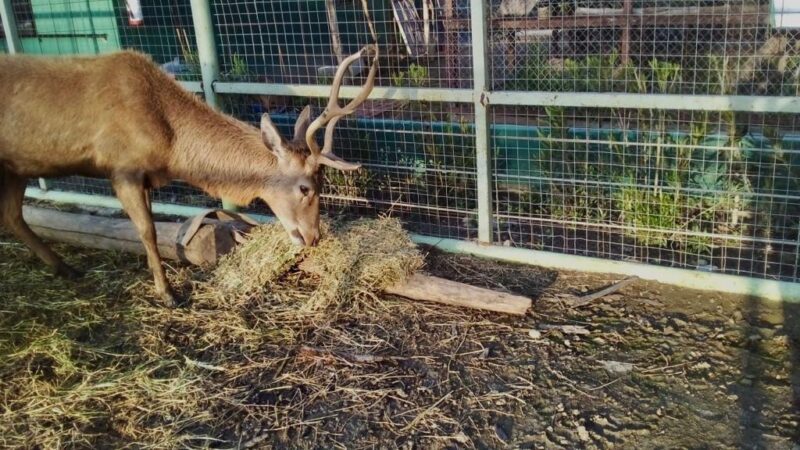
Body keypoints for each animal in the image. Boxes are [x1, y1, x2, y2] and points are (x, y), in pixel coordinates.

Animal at [0, 44, 378, 306]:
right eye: (304, 188)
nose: (314, 237)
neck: (170, 147)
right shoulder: (122, 168)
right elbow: (148, 231)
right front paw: (168, 294)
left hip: (16, 168)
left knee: (13, 215)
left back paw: (65, 268)